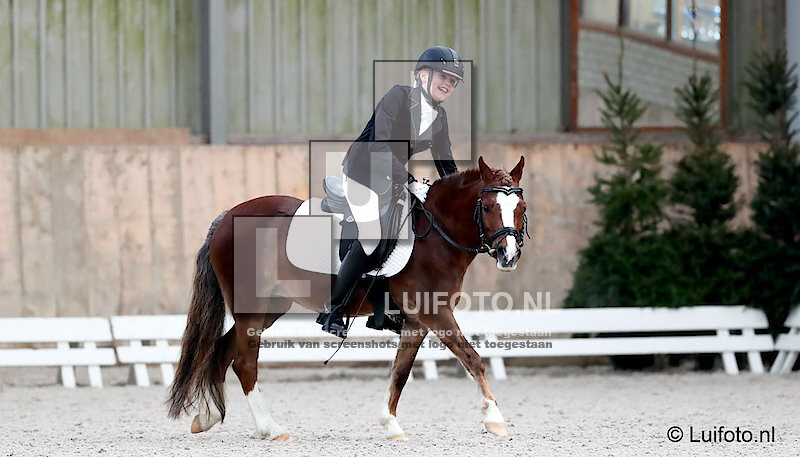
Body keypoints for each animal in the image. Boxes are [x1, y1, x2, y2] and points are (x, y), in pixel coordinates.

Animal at [167, 155, 528, 441]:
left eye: (521, 208)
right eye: (488, 207)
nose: (509, 256)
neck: (436, 234)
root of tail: (227, 217)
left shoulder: (417, 320)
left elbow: (400, 372)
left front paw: (390, 424)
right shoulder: (434, 312)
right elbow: (473, 358)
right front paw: (494, 419)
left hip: (272, 306)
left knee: (223, 350)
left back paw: (210, 417)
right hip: (252, 307)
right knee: (243, 362)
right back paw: (270, 428)